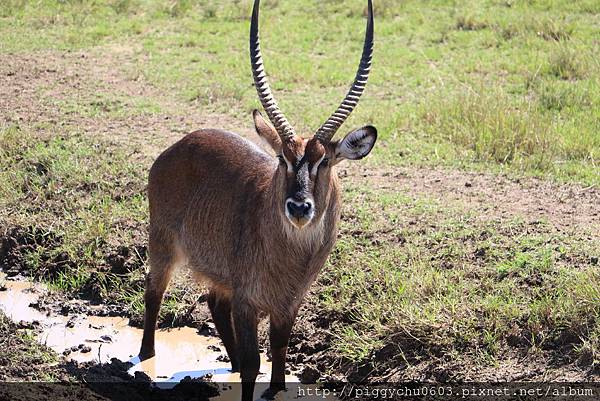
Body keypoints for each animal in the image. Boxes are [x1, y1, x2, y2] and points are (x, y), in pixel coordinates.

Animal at [140, 1, 376, 398]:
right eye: (282, 158)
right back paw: (145, 358)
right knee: (153, 291)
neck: (292, 255)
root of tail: (180, 144)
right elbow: (254, 363)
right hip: (163, 245)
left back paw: (228, 363)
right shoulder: (247, 302)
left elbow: (279, 348)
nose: (298, 207)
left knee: (214, 303)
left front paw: (276, 387)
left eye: (324, 161)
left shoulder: (289, 303)